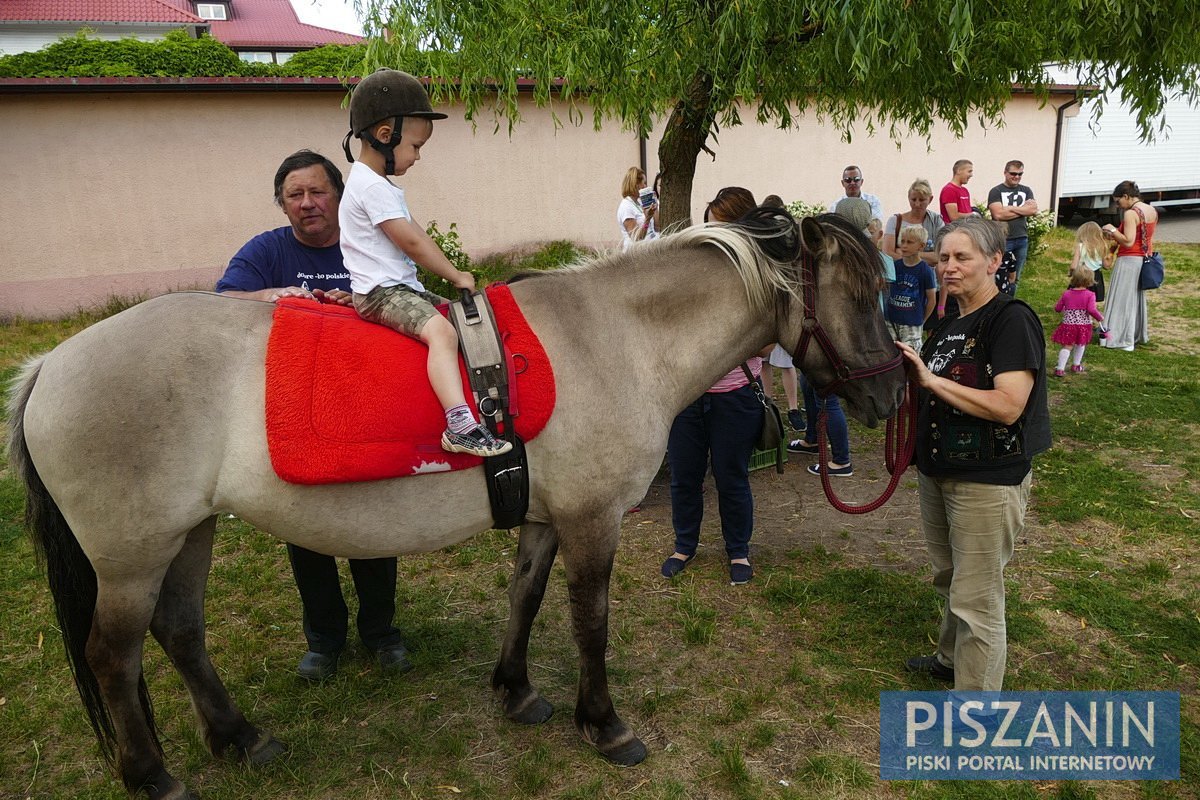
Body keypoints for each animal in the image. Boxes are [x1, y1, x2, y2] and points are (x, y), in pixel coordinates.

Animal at [7, 209, 902, 796]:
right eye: (861, 299)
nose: (892, 395)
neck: (612, 338)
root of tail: (51, 367)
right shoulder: (591, 522)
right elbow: (590, 622)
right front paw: (604, 724)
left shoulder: (545, 517)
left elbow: (524, 597)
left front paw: (516, 690)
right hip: (133, 556)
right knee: (113, 656)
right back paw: (151, 775)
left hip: (188, 534)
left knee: (181, 632)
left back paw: (239, 737)